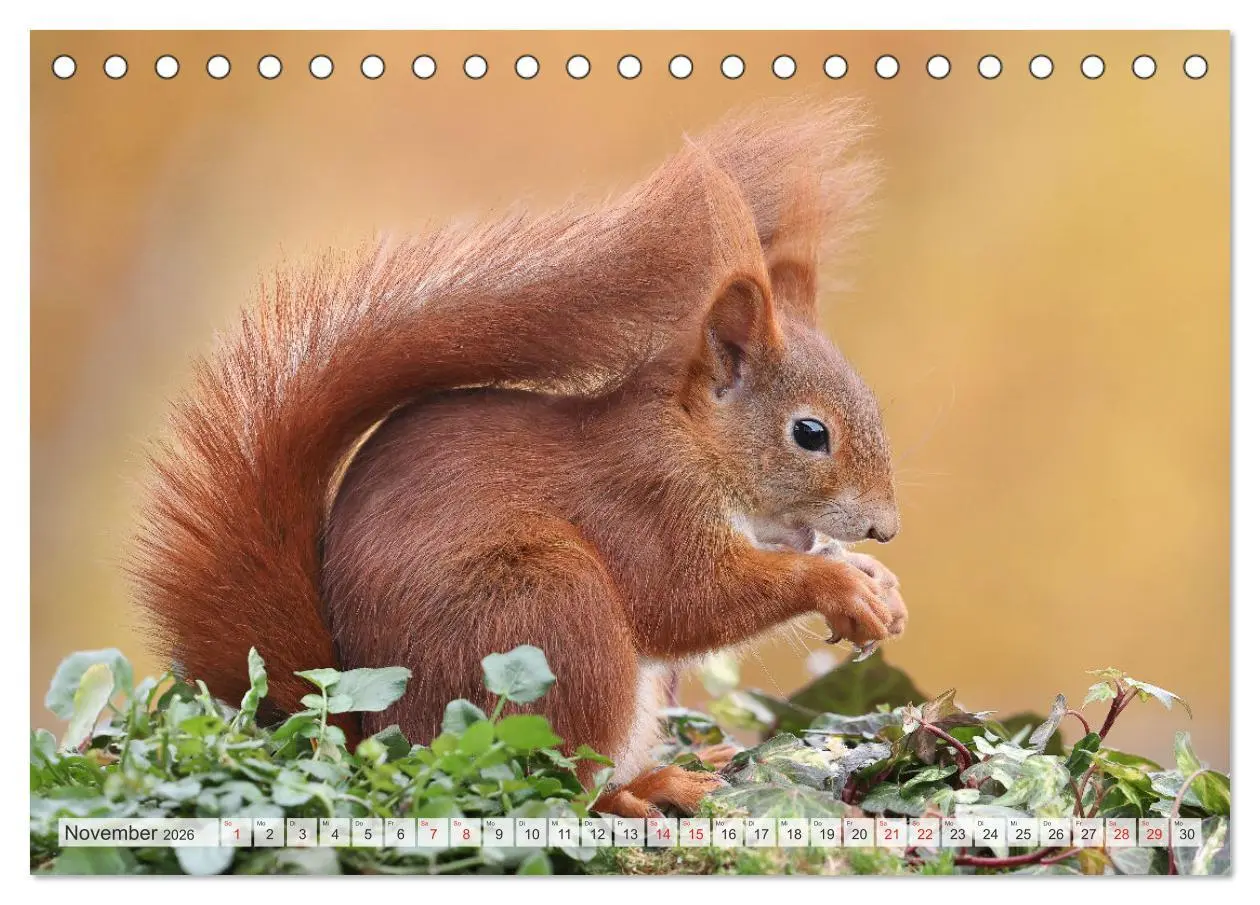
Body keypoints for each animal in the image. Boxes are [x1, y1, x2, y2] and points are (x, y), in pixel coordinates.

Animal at [133, 101, 907, 817]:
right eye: (810, 433)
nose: (886, 528)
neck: (693, 440)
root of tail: (381, 737)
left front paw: (874, 581)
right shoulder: (645, 501)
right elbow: (692, 601)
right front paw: (839, 584)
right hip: (552, 615)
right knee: (561, 785)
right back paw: (644, 788)